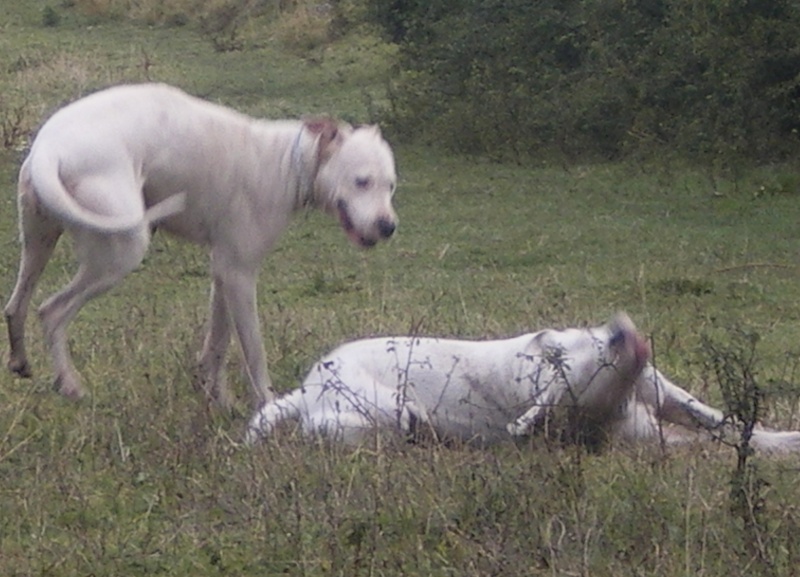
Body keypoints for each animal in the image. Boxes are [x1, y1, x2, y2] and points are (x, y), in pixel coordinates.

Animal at [3, 83, 396, 404]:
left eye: (391, 185)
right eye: (362, 181)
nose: (389, 226)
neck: (289, 161)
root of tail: (48, 149)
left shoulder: (223, 271)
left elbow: (218, 341)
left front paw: (215, 395)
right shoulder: (239, 273)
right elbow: (253, 350)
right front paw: (266, 402)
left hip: (39, 242)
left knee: (16, 305)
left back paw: (21, 361)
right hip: (118, 254)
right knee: (52, 311)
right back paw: (70, 384)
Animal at [247, 312, 800, 452]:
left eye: (591, 336)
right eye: (591, 359)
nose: (619, 328)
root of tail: (304, 389)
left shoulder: (660, 391)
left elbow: (719, 418)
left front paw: (785, 439)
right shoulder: (626, 433)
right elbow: (689, 440)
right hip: (368, 411)